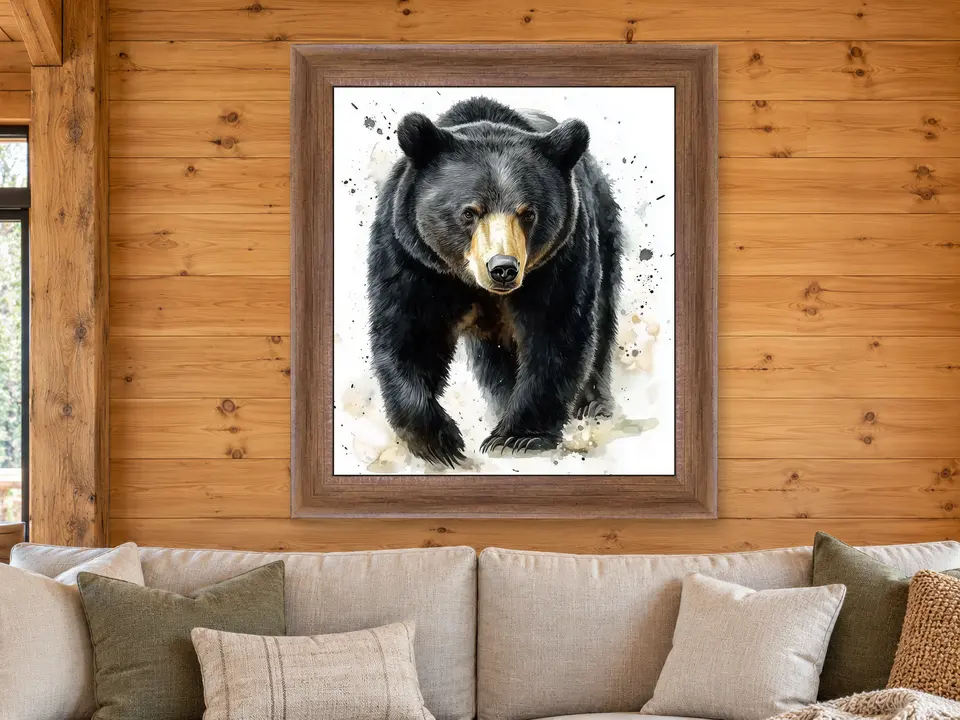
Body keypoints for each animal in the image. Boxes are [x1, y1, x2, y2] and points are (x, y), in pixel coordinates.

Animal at [366, 96, 623, 467]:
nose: (503, 268)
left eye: (528, 213)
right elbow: (409, 335)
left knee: (602, 318)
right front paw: (439, 441)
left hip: (603, 230)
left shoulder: (559, 259)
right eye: (469, 212)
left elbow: (557, 333)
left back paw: (593, 404)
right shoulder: (413, 259)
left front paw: (518, 437)